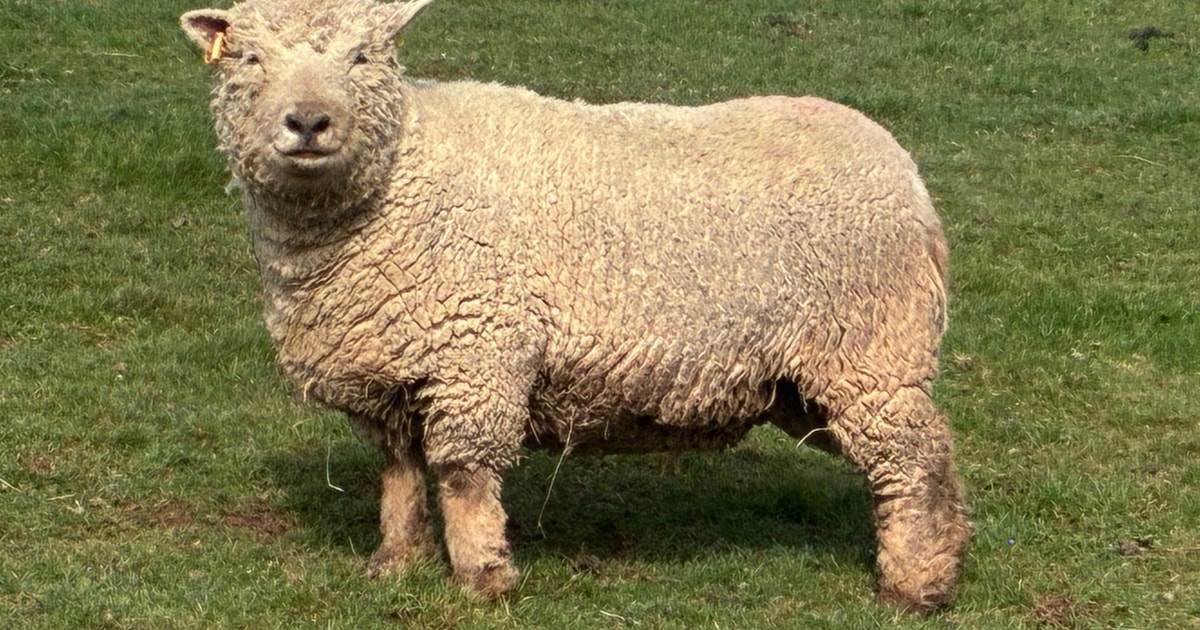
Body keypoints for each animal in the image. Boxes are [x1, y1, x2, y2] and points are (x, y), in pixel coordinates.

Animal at [181, 0, 970, 612]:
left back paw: (917, 585)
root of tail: (903, 169)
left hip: (869, 344)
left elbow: (463, 473)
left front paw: (484, 578)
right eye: (247, 56)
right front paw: (396, 564)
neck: (400, 171)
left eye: (364, 55)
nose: (308, 123)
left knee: (917, 460)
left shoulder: (477, 352)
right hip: (816, 375)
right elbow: (400, 473)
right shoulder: (392, 366)